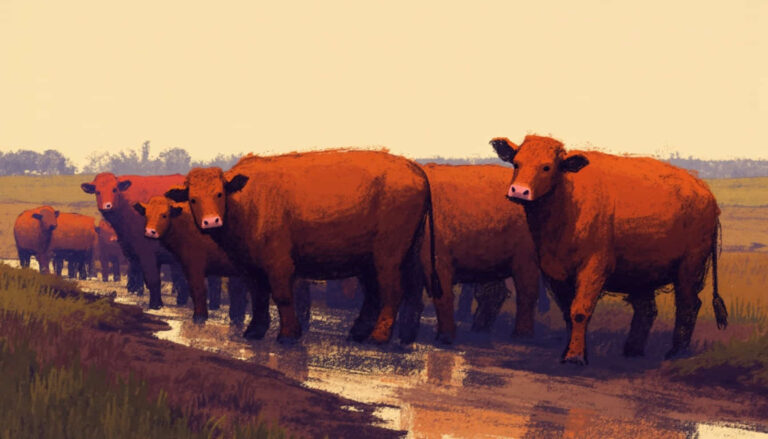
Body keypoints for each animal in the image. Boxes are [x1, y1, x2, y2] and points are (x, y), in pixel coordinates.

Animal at [81, 173, 190, 309]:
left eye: (114, 189)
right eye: (97, 191)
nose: (107, 206)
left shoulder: (147, 252)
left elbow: (152, 279)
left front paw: (155, 304)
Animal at [165, 149, 437, 344]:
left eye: (220, 194)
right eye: (192, 199)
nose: (211, 221)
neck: (248, 200)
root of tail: (414, 167)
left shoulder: (279, 264)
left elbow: (283, 296)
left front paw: (288, 335)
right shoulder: (250, 267)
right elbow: (259, 296)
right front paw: (255, 330)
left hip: (388, 256)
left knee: (392, 292)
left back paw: (378, 337)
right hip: (384, 256)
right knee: (389, 293)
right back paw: (375, 334)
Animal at [396, 164, 543, 345]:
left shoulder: (436, 252)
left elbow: (441, 294)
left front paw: (445, 337)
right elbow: (411, 294)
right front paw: (405, 336)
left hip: (525, 251)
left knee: (526, 291)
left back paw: (521, 336)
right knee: (494, 292)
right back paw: (480, 331)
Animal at [491, 134, 728, 364]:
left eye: (547, 167)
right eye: (516, 163)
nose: (519, 191)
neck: (568, 202)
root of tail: (705, 193)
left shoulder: (593, 268)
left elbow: (580, 311)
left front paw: (575, 357)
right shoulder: (555, 274)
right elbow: (568, 312)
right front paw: (570, 351)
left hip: (689, 269)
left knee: (688, 304)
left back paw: (676, 352)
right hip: (642, 272)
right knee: (647, 309)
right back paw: (632, 350)